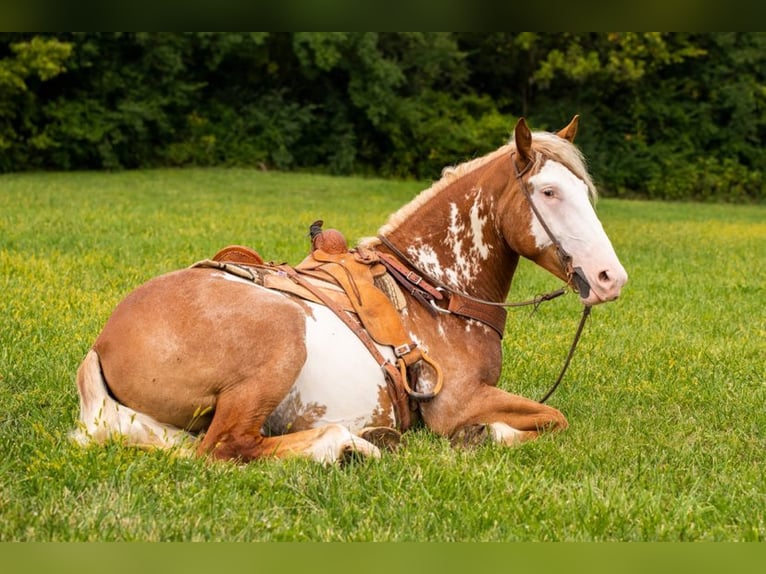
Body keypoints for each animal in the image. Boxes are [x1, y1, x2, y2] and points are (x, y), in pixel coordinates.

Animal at [70, 116, 632, 464]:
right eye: (549, 192)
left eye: (584, 191)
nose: (611, 278)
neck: (434, 289)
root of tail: (103, 345)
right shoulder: (457, 403)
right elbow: (553, 418)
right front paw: (485, 434)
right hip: (280, 338)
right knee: (224, 448)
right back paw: (345, 446)